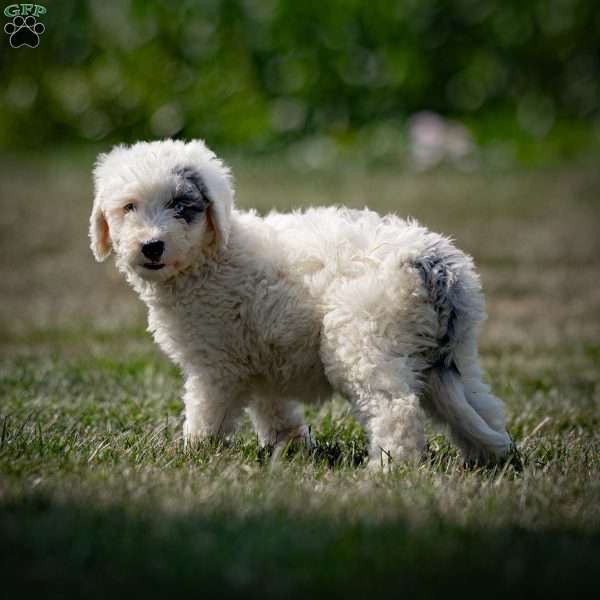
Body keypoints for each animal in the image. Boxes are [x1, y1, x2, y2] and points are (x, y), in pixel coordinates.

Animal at [89, 138, 510, 466]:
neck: (213, 256)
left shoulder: (217, 367)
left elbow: (207, 414)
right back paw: (492, 459)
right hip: (455, 358)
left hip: (364, 346)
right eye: (129, 207)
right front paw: (290, 448)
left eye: (180, 206)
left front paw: (193, 454)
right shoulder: (258, 359)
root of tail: (433, 263)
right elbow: (274, 409)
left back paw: (387, 470)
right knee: (484, 408)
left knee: (396, 408)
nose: (151, 246)